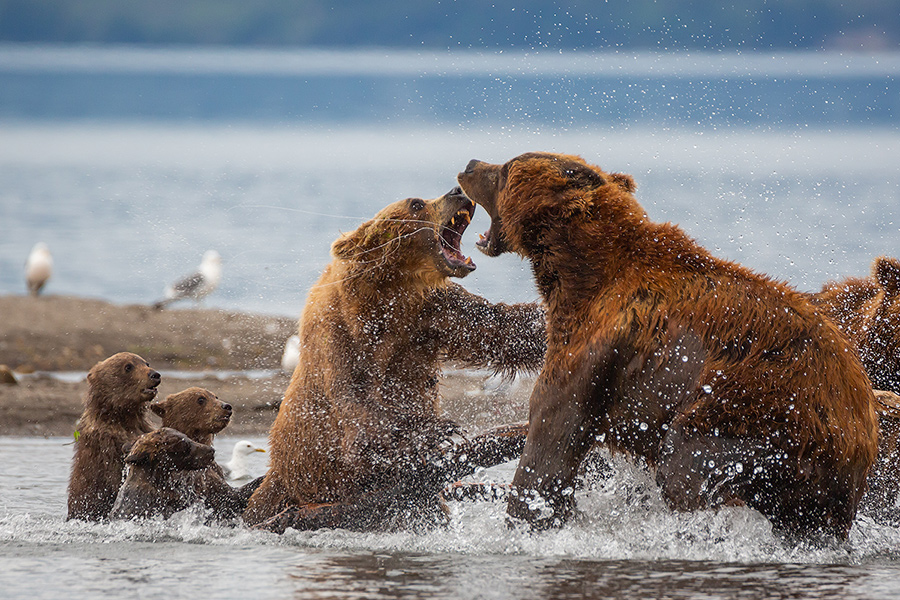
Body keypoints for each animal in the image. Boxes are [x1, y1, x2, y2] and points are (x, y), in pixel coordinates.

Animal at [67, 352, 161, 520]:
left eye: (146, 363)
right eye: (128, 366)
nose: (155, 375)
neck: (121, 416)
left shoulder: (143, 428)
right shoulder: (106, 446)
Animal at [243, 189, 544, 536]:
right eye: (416, 203)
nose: (457, 192)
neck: (390, 292)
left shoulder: (433, 313)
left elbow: (502, 328)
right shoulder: (338, 336)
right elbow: (357, 410)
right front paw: (437, 429)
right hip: (293, 484)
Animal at [458, 152, 880, 540]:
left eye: (506, 169)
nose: (470, 164)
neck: (578, 273)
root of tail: (861, 428)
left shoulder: (592, 348)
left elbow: (552, 433)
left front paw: (528, 518)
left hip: (759, 411)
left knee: (685, 468)